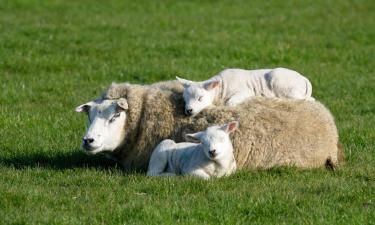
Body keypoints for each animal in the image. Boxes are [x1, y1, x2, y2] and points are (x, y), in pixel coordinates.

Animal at [176, 67, 314, 116]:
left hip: (282, 84)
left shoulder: (245, 92)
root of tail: (303, 78)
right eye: (184, 100)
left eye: (200, 98)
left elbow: (229, 103)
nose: (189, 111)